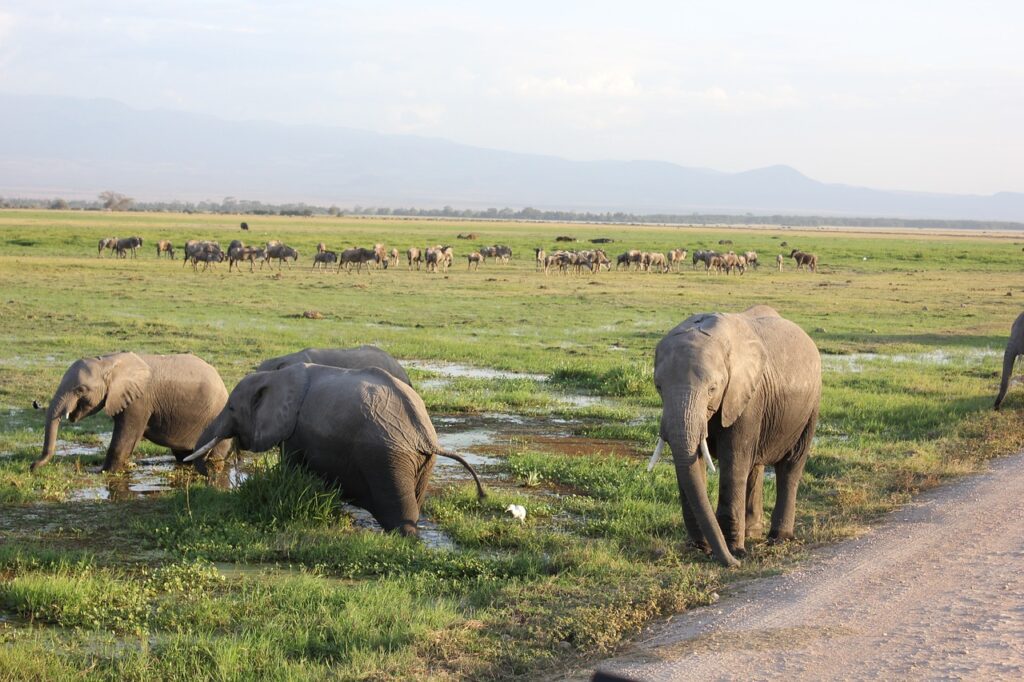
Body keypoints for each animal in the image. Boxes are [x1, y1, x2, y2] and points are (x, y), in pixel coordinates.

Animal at [33, 350, 233, 473]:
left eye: (80, 390)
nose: (32, 466)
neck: (109, 362)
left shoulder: (139, 401)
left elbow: (125, 438)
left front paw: (102, 472)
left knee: (214, 455)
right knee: (183, 455)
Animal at [183, 364, 483, 532]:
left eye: (232, 408)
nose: (208, 473)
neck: (274, 377)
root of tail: (424, 435)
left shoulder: (296, 433)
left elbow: (291, 468)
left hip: (387, 457)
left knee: (400, 512)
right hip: (420, 462)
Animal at [651, 305, 819, 565]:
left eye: (712, 389)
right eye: (658, 386)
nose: (735, 563)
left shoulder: (746, 397)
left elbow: (734, 461)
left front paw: (734, 551)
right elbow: (695, 460)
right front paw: (699, 549)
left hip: (809, 408)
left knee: (790, 466)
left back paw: (779, 538)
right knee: (755, 466)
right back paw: (751, 532)